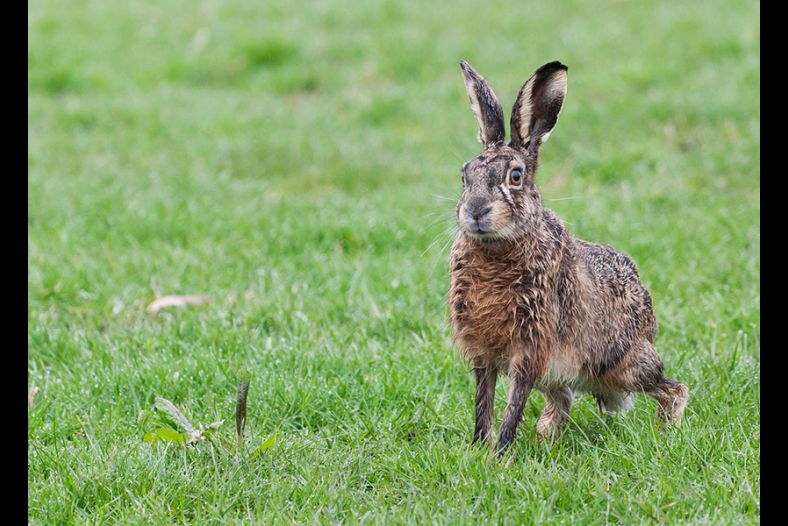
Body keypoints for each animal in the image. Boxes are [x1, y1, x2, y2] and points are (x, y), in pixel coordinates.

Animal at [449, 60, 689, 457]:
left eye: (516, 176)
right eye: (465, 174)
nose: (476, 210)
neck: (497, 249)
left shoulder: (530, 348)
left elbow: (512, 405)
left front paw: (499, 455)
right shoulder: (484, 352)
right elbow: (483, 402)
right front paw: (478, 450)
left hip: (625, 365)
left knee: (672, 389)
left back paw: (665, 434)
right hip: (560, 376)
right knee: (561, 404)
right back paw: (545, 441)